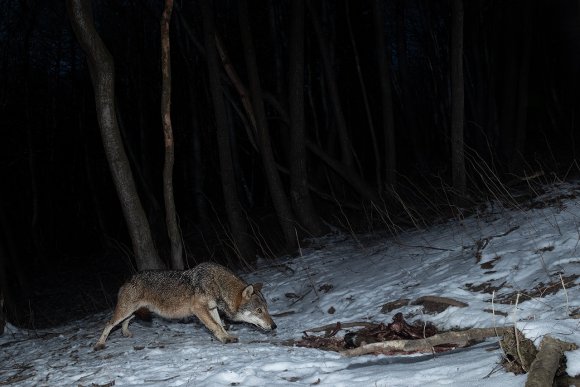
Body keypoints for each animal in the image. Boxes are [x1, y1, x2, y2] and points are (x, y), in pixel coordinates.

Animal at [94, 262, 276, 350]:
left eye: (266, 309)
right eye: (259, 310)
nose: (274, 326)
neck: (217, 284)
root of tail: (127, 280)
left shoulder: (212, 309)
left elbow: (220, 324)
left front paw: (228, 337)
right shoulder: (199, 309)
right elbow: (216, 325)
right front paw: (225, 339)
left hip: (133, 312)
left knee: (124, 322)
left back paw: (125, 333)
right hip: (125, 311)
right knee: (109, 324)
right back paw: (99, 345)